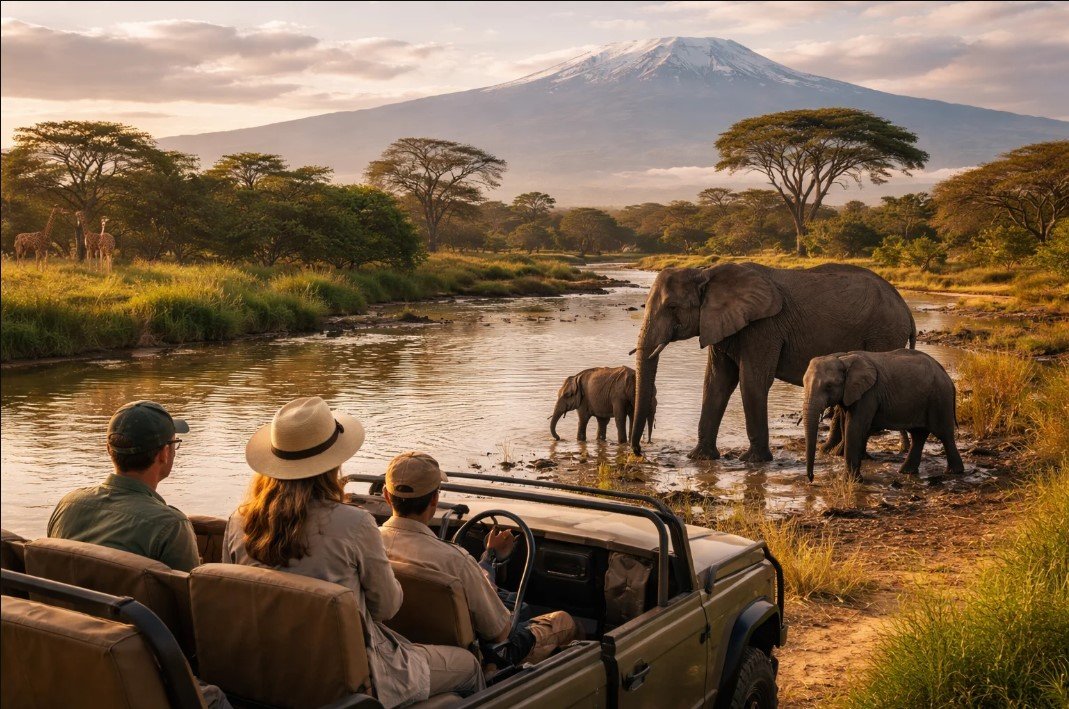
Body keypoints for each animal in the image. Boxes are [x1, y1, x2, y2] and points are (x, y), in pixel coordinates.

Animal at [630, 262, 915, 462]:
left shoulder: (764, 328)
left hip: (882, 335)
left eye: (672, 307)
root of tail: (906, 309)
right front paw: (700, 458)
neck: (706, 273)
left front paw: (753, 461)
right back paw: (830, 451)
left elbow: (751, 382)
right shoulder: (723, 326)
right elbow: (715, 383)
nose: (639, 451)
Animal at [803, 349, 964, 480]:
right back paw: (906, 472)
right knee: (919, 435)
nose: (811, 478)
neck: (843, 357)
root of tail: (948, 378)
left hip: (940, 398)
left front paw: (851, 481)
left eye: (829, 386)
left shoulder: (868, 393)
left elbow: (854, 427)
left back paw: (954, 472)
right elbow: (846, 425)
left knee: (944, 434)